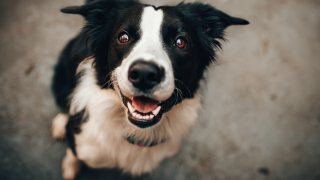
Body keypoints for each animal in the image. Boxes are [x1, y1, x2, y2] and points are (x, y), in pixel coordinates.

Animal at [51, 0, 249, 179]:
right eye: (124, 37)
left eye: (180, 42)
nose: (144, 74)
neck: (137, 133)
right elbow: (73, 152)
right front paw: (70, 166)